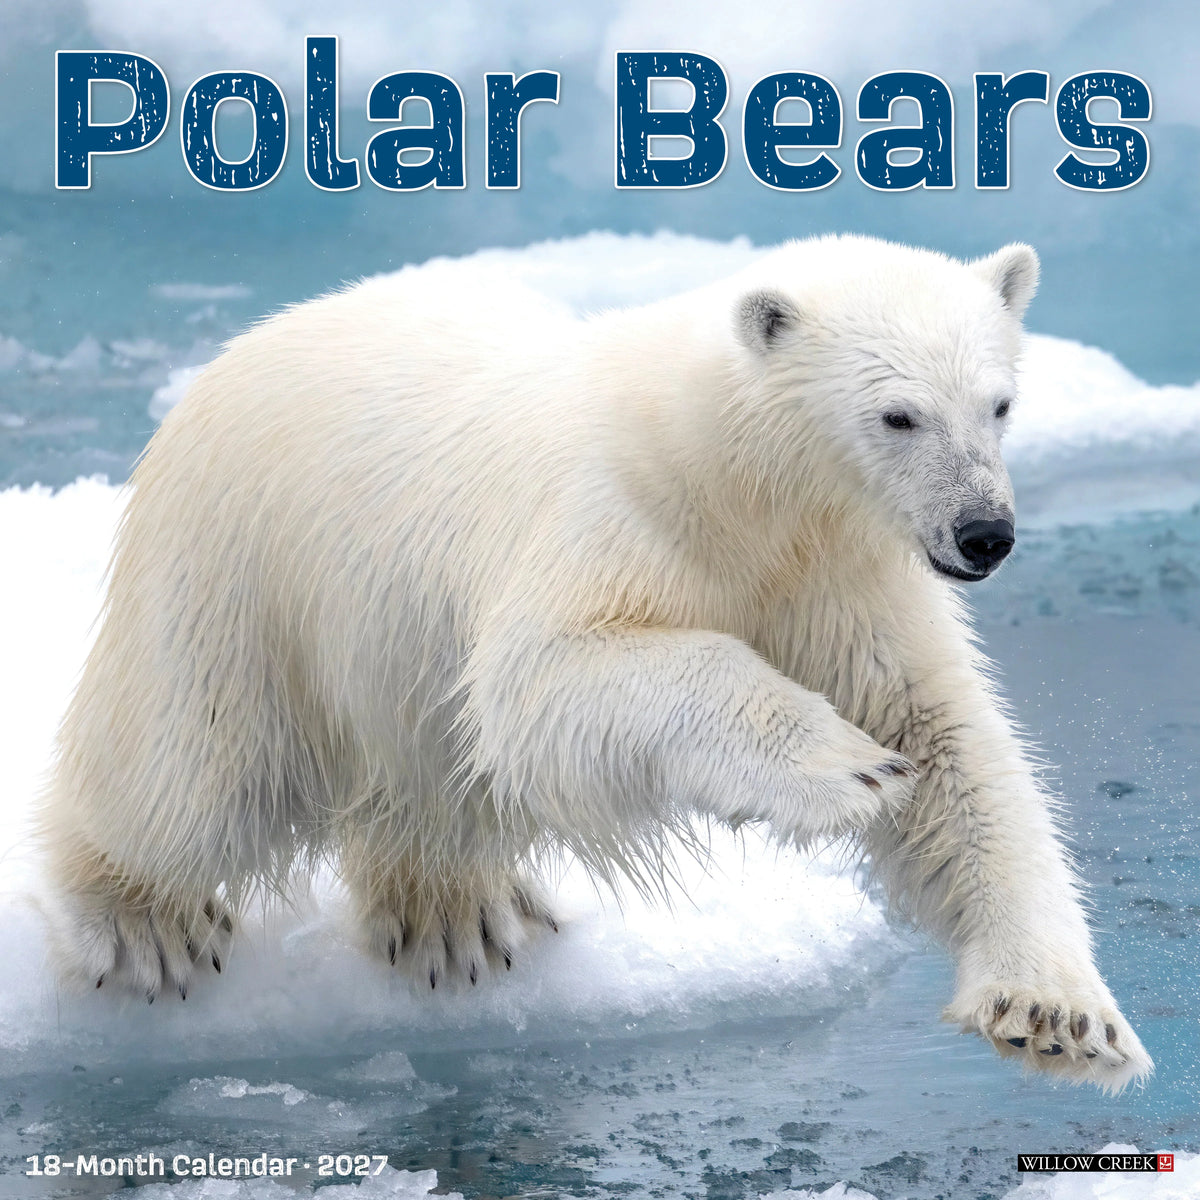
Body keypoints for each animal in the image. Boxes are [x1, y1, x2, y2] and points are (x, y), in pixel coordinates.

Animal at [39, 234, 1151, 1091]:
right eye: (898, 413)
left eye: (1000, 403)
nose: (985, 534)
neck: (731, 478)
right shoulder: (611, 516)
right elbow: (545, 681)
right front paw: (843, 766)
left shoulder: (844, 573)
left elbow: (948, 744)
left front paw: (1060, 1014)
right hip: (243, 577)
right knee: (191, 775)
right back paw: (146, 923)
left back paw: (460, 913)